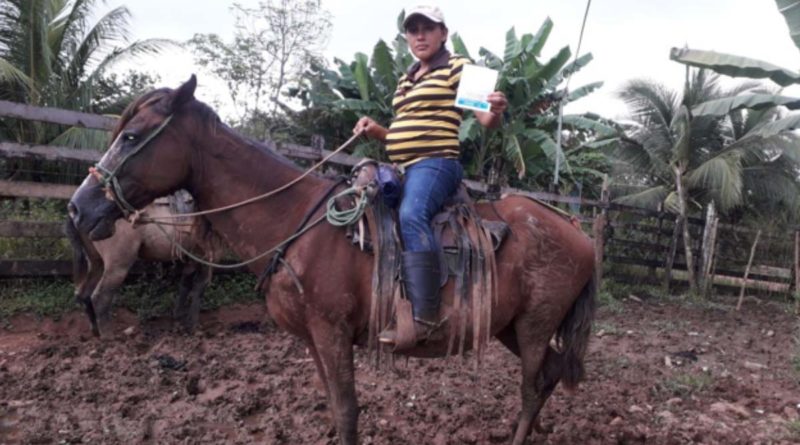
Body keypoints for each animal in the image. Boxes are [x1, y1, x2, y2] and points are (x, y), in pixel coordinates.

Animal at [65, 185, 222, 336]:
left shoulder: (192, 257)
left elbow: (185, 285)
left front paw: (178, 320)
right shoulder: (210, 255)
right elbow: (199, 287)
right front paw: (193, 326)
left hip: (96, 263)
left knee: (84, 294)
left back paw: (96, 331)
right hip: (117, 267)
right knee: (100, 297)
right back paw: (108, 336)